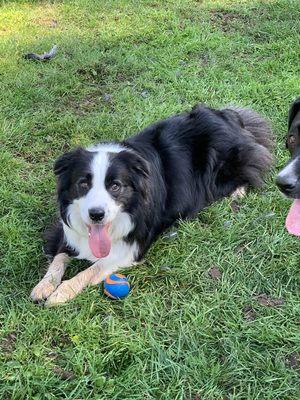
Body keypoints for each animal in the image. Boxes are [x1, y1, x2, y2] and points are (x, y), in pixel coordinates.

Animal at [31, 104, 274, 304]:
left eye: (115, 186)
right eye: (83, 183)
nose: (96, 214)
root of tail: (227, 116)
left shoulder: (133, 246)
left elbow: (93, 268)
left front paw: (62, 292)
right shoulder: (68, 230)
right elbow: (59, 257)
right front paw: (44, 286)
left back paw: (238, 191)